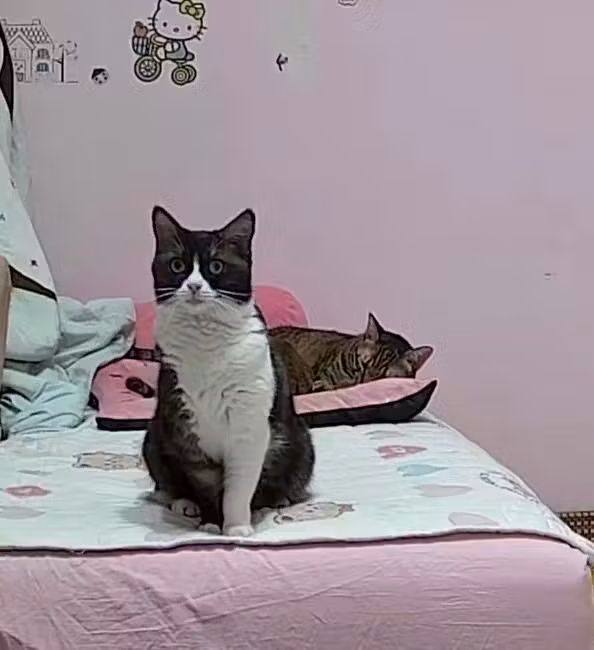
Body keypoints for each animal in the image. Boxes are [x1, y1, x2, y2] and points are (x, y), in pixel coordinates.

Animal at [142, 206, 315, 537]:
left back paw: (276, 500)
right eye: (178, 265)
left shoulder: (249, 428)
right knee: (167, 485)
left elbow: (239, 488)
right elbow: (206, 484)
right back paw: (184, 503)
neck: (206, 341)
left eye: (216, 266)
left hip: (302, 445)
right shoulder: (187, 428)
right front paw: (211, 521)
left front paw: (236, 526)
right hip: (153, 437)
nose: (194, 286)